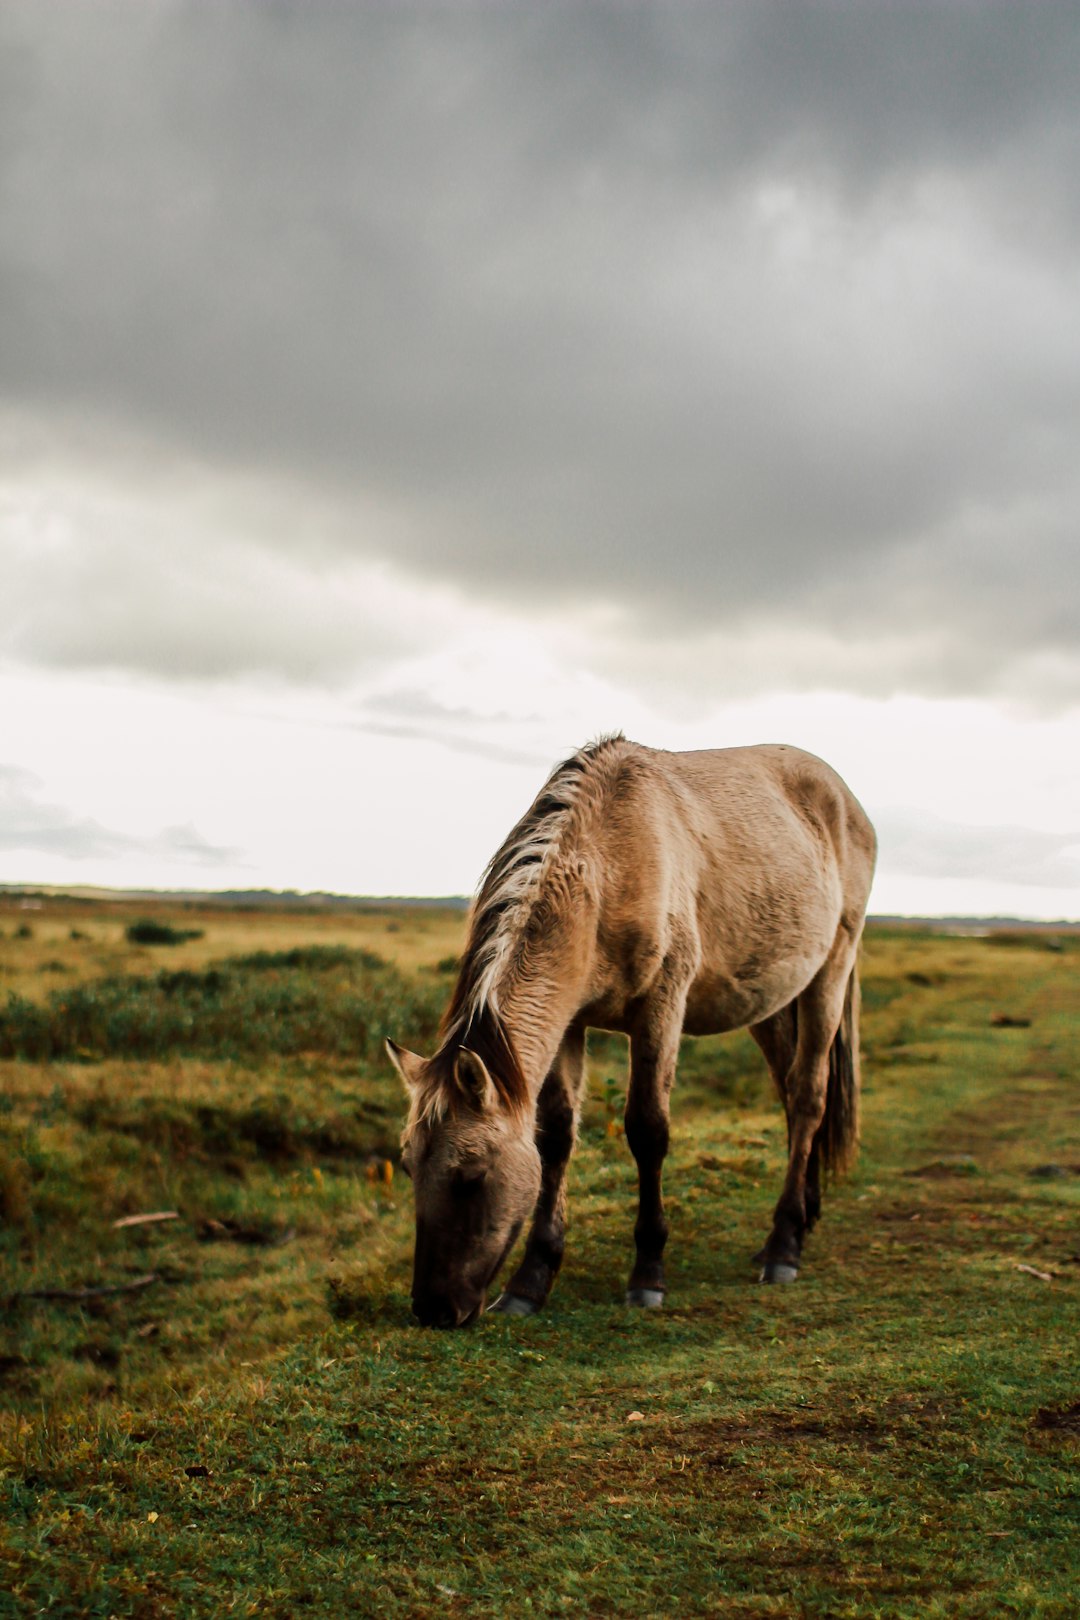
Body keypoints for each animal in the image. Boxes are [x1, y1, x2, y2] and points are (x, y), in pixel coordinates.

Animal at [388, 735, 880, 1328]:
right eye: (409, 1166)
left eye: (471, 1176)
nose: (433, 1309)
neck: (609, 865)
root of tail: (845, 799)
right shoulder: (569, 1023)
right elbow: (556, 1136)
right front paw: (532, 1280)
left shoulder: (660, 1009)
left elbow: (647, 1130)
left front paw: (648, 1274)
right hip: (771, 1002)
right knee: (790, 1094)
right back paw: (801, 1218)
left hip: (830, 972)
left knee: (808, 1096)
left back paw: (784, 1245)